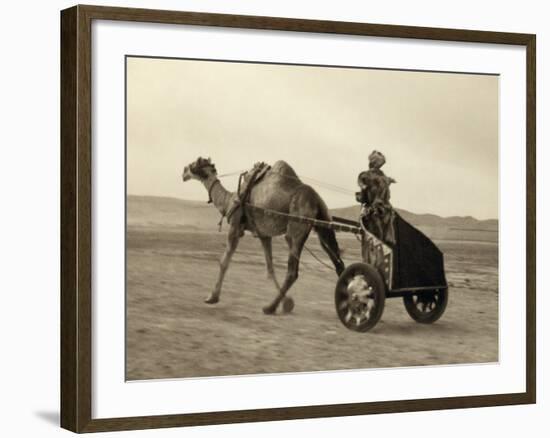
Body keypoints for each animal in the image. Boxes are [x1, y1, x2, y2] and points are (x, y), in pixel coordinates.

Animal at [182, 156, 344, 314]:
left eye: (194, 163)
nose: (183, 172)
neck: (229, 201)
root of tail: (317, 200)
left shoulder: (235, 226)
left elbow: (224, 262)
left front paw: (212, 297)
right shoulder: (264, 234)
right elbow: (270, 268)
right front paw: (287, 302)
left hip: (296, 228)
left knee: (293, 270)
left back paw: (270, 307)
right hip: (323, 225)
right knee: (338, 263)